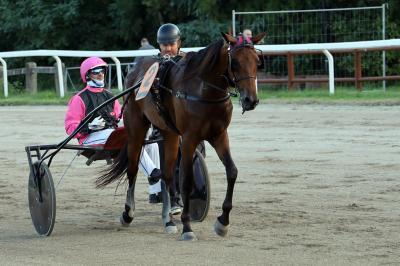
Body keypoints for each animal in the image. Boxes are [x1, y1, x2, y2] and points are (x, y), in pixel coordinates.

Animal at [96, 31, 266, 241]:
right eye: (234, 62)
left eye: (257, 61)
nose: (251, 100)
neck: (204, 90)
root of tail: (136, 71)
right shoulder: (190, 139)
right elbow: (186, 180)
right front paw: (187, 227)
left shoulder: (219, 136)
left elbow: (232, 172)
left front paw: (223, 222)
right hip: (136, 128)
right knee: (133, 169)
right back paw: (128, 213)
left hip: (169, 134)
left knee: (167, 173)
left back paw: (168, 220)